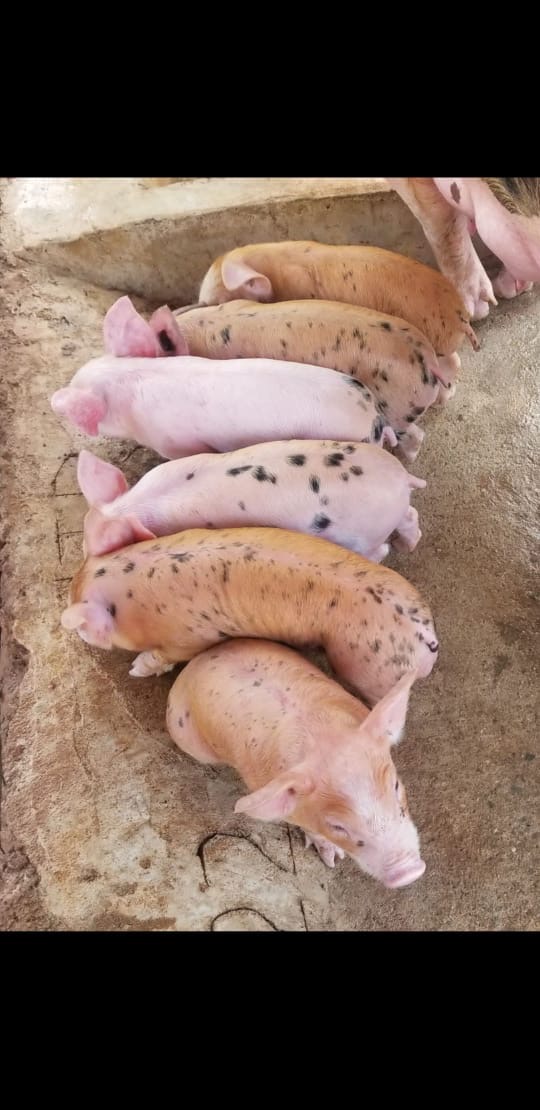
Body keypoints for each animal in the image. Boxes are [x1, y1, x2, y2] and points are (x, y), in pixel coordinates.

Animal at [61, 526, 439, 706]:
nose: (77, 634)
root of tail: (427, 642)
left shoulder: (190, 636)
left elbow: (165, 656)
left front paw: (136, 669)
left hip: (367, 666)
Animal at [77, 441, 426, 561]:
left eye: (109, 545)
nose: (85, 553)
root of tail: (400, 478)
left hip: (360, 535)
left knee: (380, 550)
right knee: (411, 517)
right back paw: (409, 544)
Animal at [167, 638, 426, 888]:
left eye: (396, 786)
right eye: (337, 826)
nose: (409, 872)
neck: (319, 734)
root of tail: (197, 660)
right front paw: (333, 860)